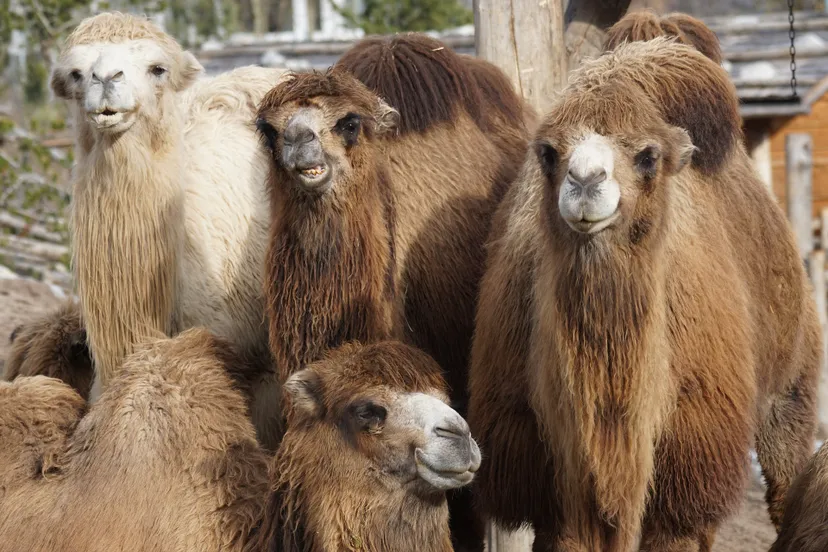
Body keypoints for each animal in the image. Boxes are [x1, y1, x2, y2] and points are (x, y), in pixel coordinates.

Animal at [467, 38, 820, 551]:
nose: (586, 181)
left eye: (647, 156)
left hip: (789, 387)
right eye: (549, 153)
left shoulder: (692, 447)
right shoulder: (546, 474)